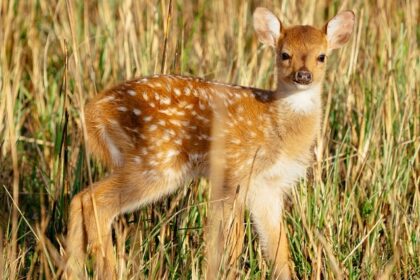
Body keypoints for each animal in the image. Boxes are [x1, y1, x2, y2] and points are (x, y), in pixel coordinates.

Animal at [65, 6, 354, 280]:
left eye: (322, 56)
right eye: (284, 54)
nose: (303, 76)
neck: (277, 130)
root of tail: (94, 111)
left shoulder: (268, 188)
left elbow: (277, 250)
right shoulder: (234, 174)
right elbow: (229, 242)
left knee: (79, 199)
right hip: (156, 162)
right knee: (96, 202)